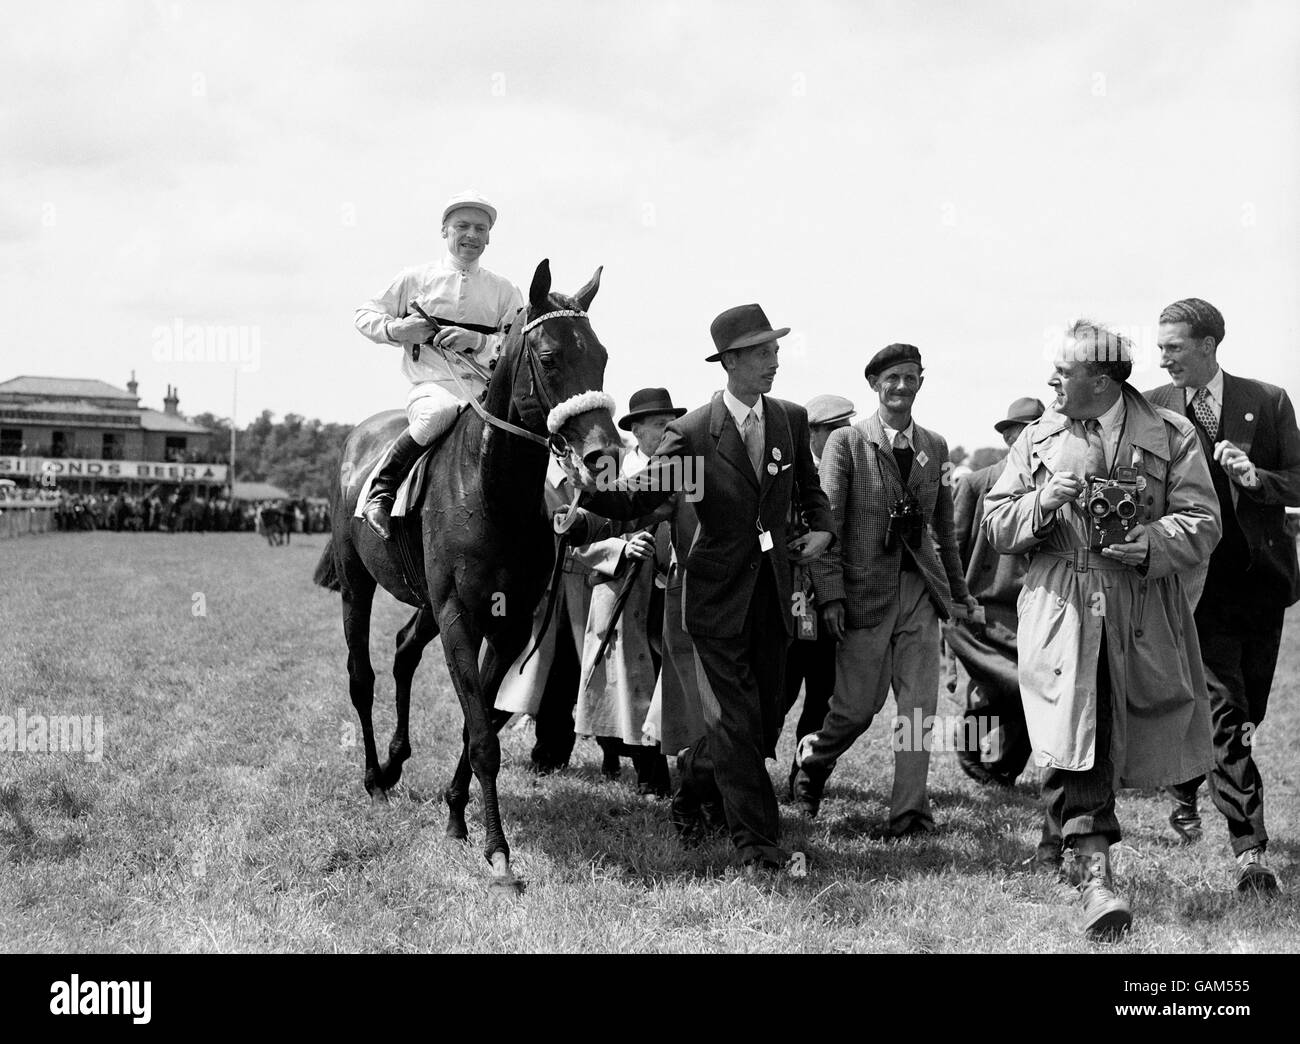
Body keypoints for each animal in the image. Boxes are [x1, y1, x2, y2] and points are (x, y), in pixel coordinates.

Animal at [313, 261, 618, 899]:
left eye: (601, 355)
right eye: (550, 356)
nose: (603, 455)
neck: (492, 489)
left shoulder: (508, 622)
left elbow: (475, 723)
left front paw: (457, 815)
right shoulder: (458, 616)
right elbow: (481, 733)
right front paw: (499, 854)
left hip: (425, 602)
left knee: (404, 649)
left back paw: (395, 763)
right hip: (358, 584)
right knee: (362, 675)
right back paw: (374, 776)